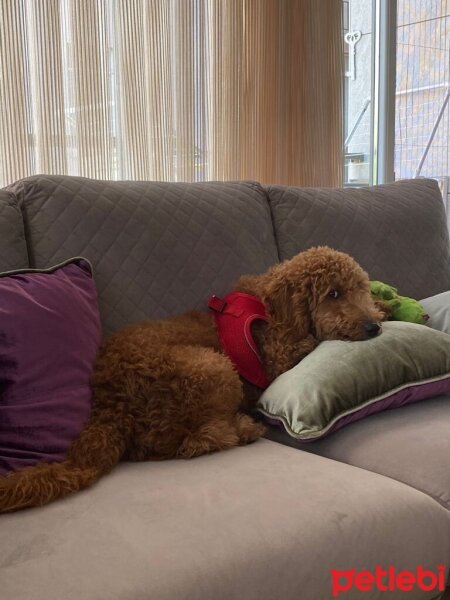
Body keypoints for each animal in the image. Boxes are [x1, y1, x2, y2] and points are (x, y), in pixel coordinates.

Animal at [0, 247, 384, 510]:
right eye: (333, 293)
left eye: (360, 288)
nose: (373, 327)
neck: (272, 310)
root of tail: (110, 408)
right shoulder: (277, 360)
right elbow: (308, 345)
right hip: (212, 367)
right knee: (199, 440)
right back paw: (245, 427)